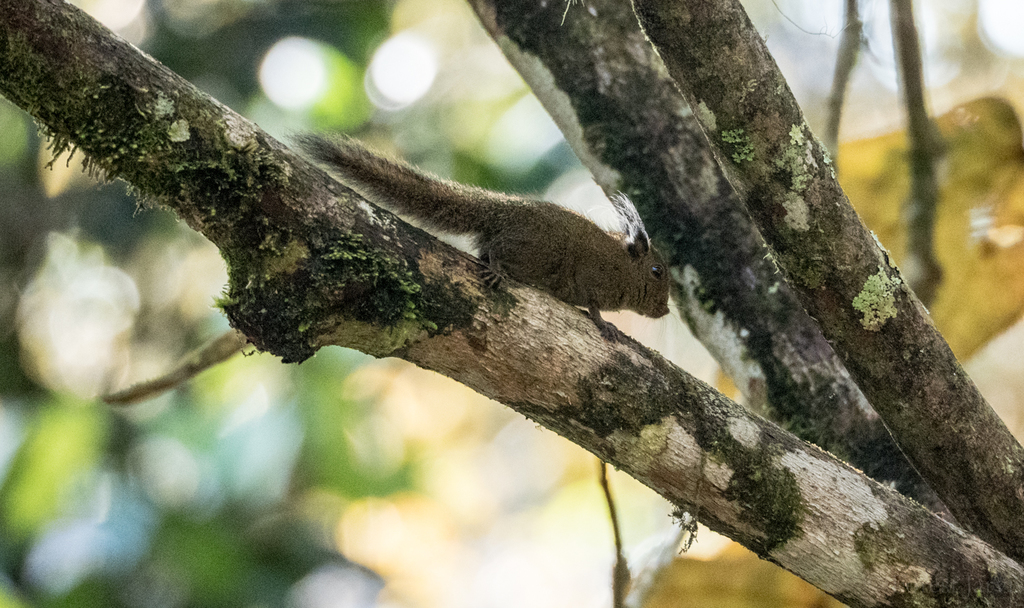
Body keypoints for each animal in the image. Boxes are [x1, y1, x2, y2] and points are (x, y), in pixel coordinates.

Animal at [296, 134, 671, 337]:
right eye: (656, 272)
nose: (666, 310)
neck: (623, 267)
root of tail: (502, 210)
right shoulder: (593, 277)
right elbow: (593, 306)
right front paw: (604, 324)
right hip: (536, 248)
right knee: (499, 249)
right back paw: (497, 270)